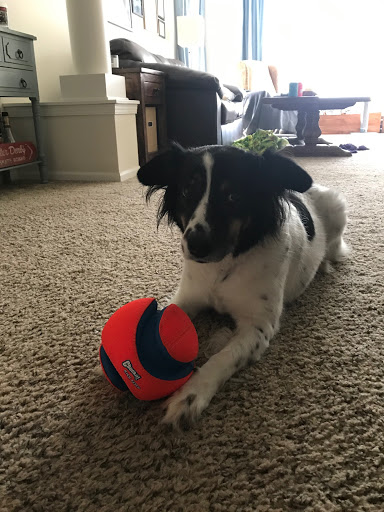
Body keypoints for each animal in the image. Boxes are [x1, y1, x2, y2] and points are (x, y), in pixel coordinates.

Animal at [137, 144, 348, 428]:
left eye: (233, 196)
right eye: (186, 192)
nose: (196, 245)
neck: (224, 265)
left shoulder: (258, 325)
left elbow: (222, 358)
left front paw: (190, 395)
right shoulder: (187, 297)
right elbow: (164, 317)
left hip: (338, 209)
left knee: (334, 248)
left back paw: (324, 264)